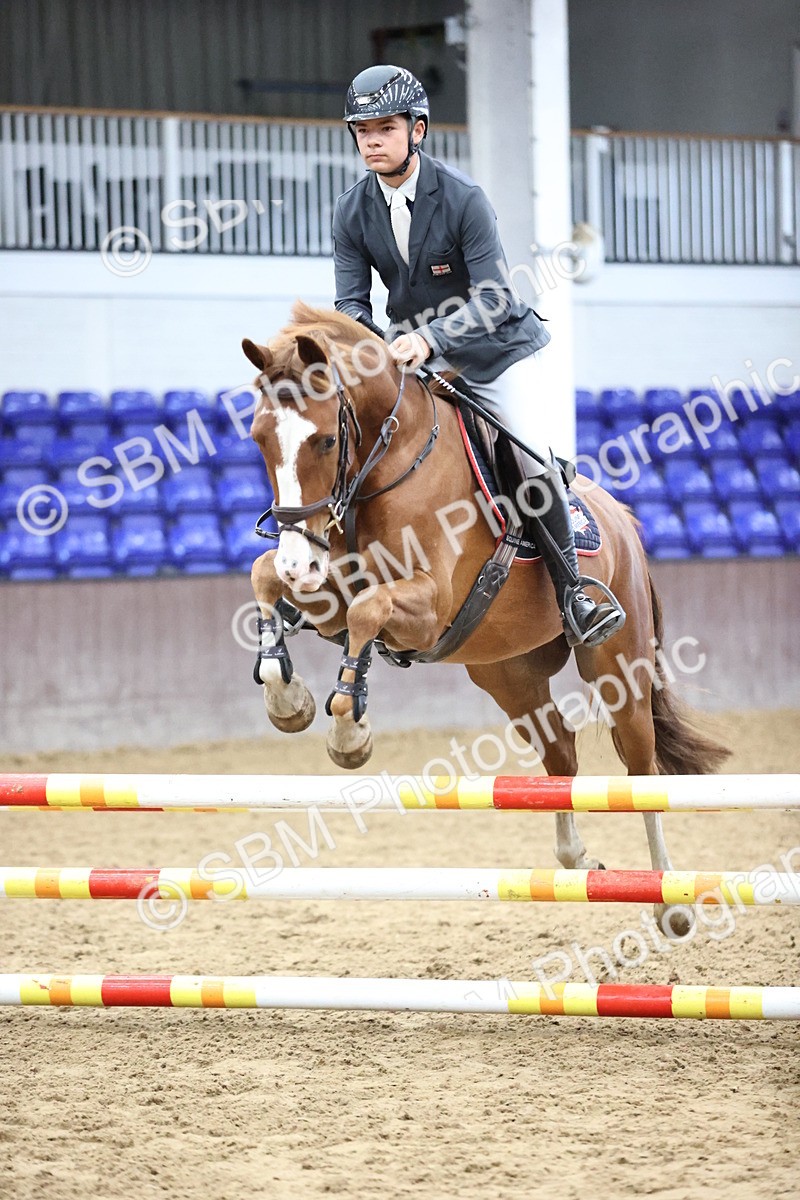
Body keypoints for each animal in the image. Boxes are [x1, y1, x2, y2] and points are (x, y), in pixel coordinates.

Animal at [242, 301, 729, 934]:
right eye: (258, 439)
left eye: (326, 441)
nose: (299, 561)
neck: (388, 463)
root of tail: (622, 517)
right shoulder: (331, 597)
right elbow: (266, 578)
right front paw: (287, 697)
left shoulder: (426, 607)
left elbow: (370, 610)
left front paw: (349, 729)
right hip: (508, 673)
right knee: (560, 752)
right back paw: (578, 862)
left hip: (618, 665)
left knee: (641, 768)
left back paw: (670, 900)